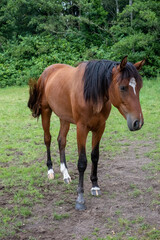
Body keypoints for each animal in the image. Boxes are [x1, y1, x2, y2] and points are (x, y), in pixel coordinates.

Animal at [27, 56, 145, 210]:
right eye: (123, 87)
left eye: (139, 87)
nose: (138, 123)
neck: (93, 94)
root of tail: (47, 71)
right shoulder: (81, 128)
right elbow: (82, 162)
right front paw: (80, 198)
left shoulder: (100, 128)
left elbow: (95, 156)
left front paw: (95, 186)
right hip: (46, 111)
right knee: (48, 139)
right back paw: (50, 171)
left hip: (64, 117)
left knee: (61, 141)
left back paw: (65, 174)